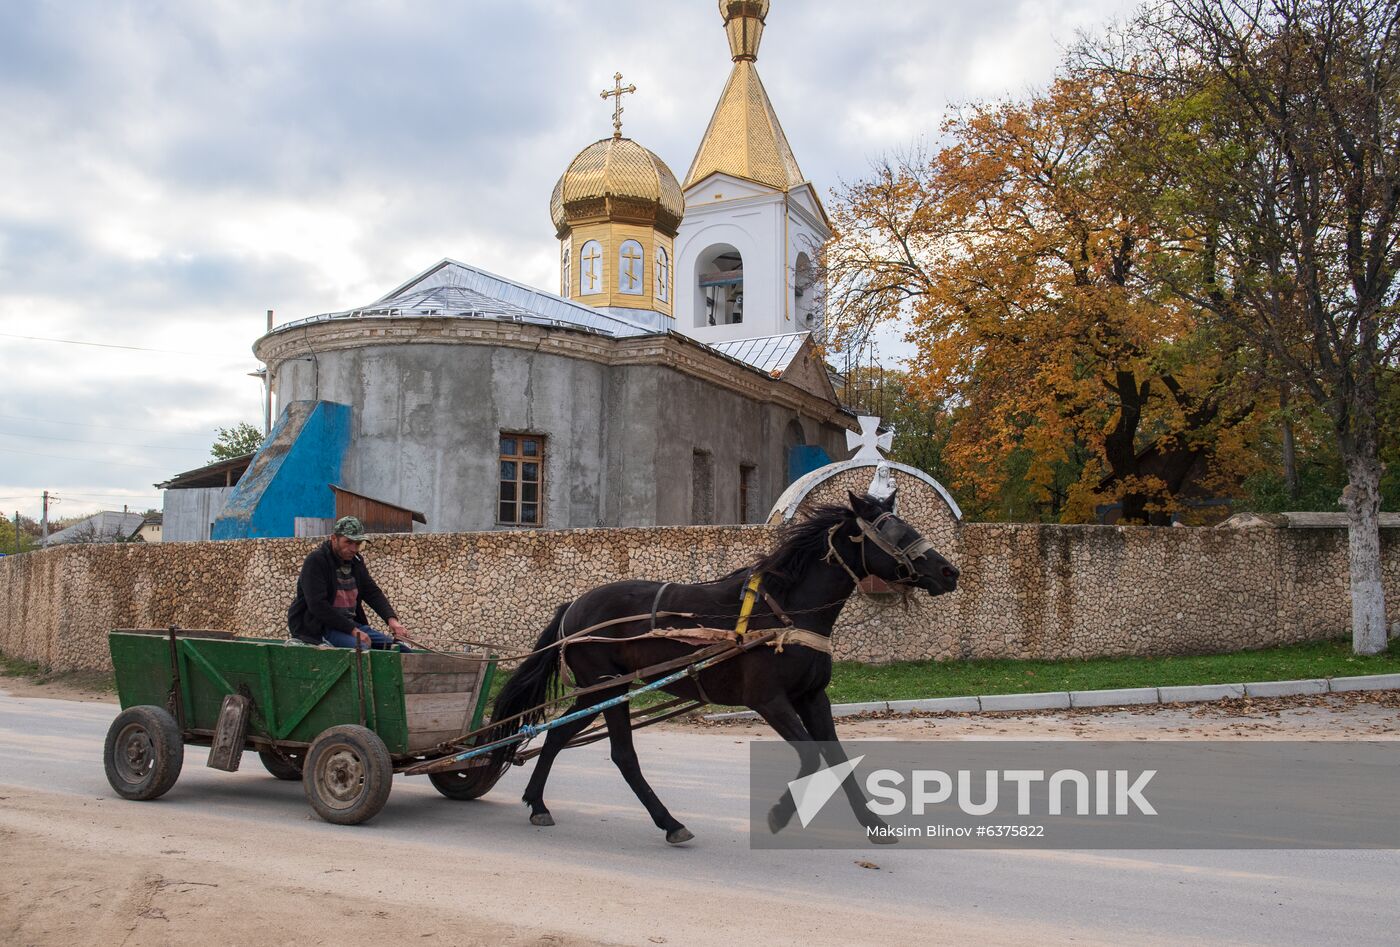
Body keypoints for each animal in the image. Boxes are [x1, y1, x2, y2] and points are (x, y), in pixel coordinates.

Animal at [487, 487, 957, 846]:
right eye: (895, 532)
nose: (949, 571)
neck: (785, 610)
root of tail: (573, 607)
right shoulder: (769, 700)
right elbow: (810, 758)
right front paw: (780, 814)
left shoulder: (812, 697)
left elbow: (836, 757)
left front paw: (875, 824)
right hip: (608, 689)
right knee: (622, 754)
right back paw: (669, 822)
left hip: (600, 691)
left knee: (556, 734)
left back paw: (538, 803)